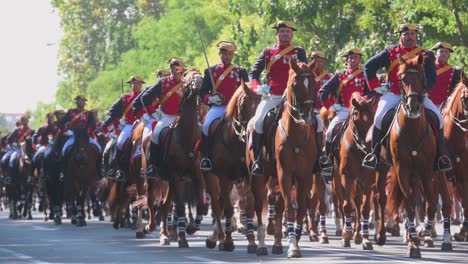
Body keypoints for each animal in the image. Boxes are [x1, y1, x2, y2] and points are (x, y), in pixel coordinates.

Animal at [201, 82, 260, 252]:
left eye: (260, 103)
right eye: (243, 103)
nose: (252, 128)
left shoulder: (247, 176)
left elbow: (248, 206)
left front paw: (252, 241)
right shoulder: (224, 176)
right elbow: (227, 208)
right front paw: (228, 242)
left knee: (221, 201)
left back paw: (216, 236)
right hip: (211, 177)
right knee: (216, 204)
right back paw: (219, 237)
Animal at [384, 54, 438, 258]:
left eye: (422, 78)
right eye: (401, 79)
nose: (412, 107)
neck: (413, 130)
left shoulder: (427, 170)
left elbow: (430, 204)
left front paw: (424, 232)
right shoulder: (402, 169)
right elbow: (407, 206)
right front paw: (414, 244)